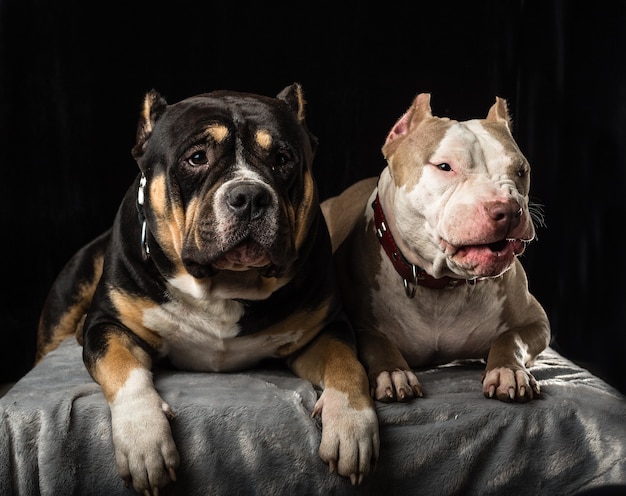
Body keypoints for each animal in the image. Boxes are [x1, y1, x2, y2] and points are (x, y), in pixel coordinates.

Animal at [37, 83, 376, 494]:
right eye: (197, 158)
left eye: (282, 159)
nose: (250, 196)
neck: (221, 286)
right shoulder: (108, 325)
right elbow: (124, 369)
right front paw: (143, 439)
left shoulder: (324, 330)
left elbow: (347, 365)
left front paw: (353, 424)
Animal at [320, 93, 548, 404]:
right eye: (444, 167)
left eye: (521, 170)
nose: (510, 209)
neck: (439, 284)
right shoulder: (359, 326)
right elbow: (377, 344)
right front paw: (393, 372)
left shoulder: (536, 322)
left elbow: (510, 338)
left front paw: (508, 370)